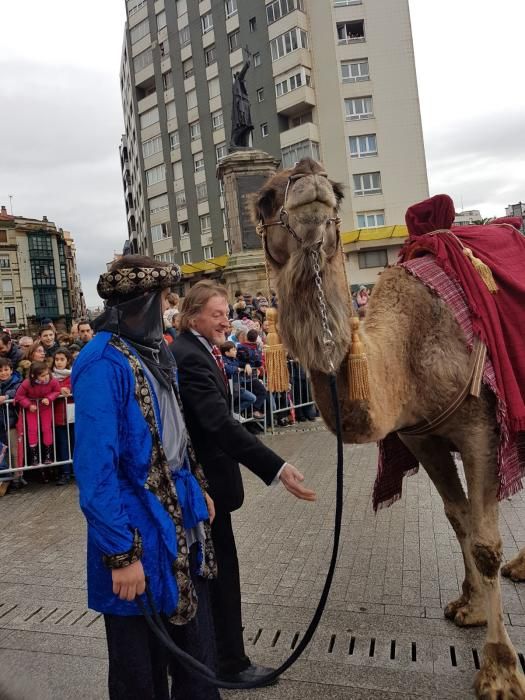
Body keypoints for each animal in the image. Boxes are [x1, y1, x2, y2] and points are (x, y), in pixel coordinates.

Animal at [250, 156, 524, 696]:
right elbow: (459, 518)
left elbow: (486, 543)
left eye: (335, 188)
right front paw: (469, 607)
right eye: (266, 197)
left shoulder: (482, 427)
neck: (408, 353)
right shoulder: (421, 436)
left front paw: (501, 671)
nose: (310, 178)